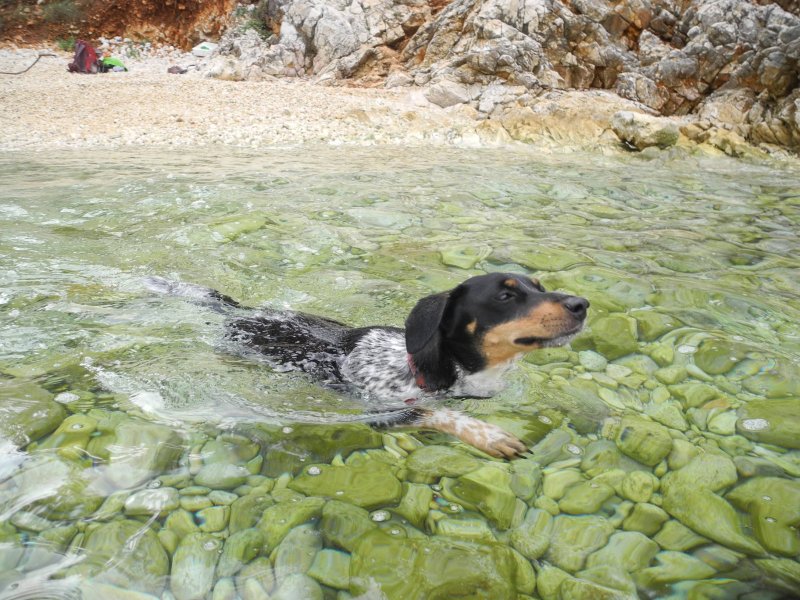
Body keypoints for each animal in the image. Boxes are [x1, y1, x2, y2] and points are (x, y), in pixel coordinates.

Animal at [147, 274, 588, 460]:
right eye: (505, 295)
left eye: (539, 287)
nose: (581, 303)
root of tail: (245, 310)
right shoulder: (381, 410)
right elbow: (436, 413)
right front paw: (490, 435)